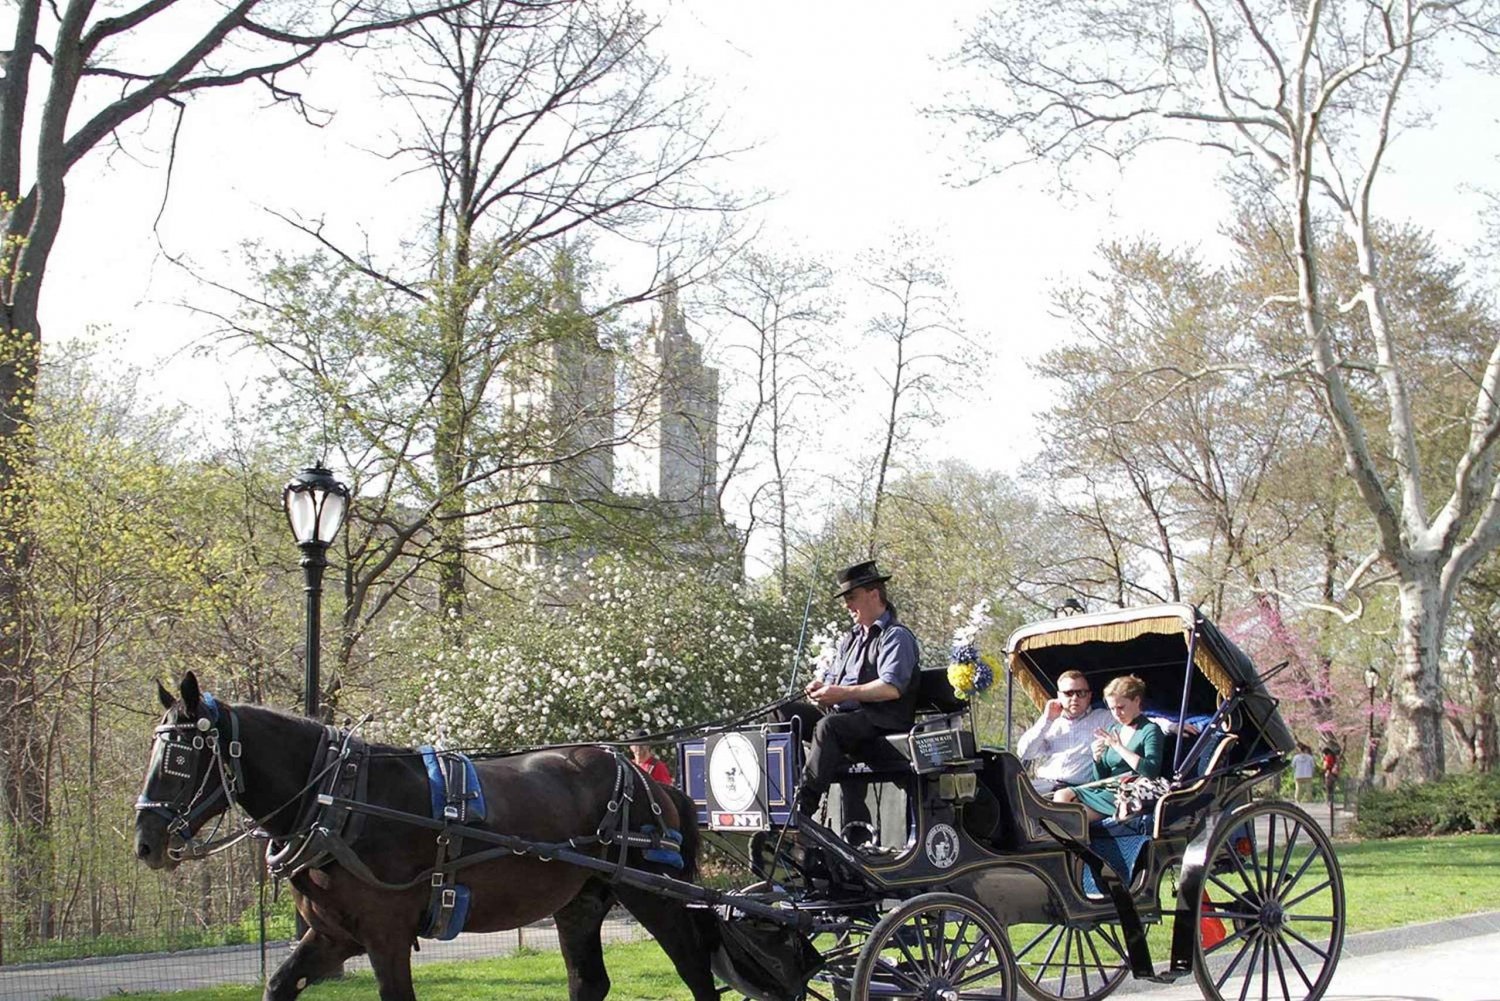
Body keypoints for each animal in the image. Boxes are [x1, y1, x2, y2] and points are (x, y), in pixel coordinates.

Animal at [135, 672, 720, 1001]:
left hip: (651, 893)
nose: (146, 841)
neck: (338, 803)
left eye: (181, 757)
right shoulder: (332, 936)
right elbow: (278, 985)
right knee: (589, 983)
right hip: (580, 902)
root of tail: (647, 779)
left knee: (695, 972)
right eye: (156, 749)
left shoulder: (386, 937)